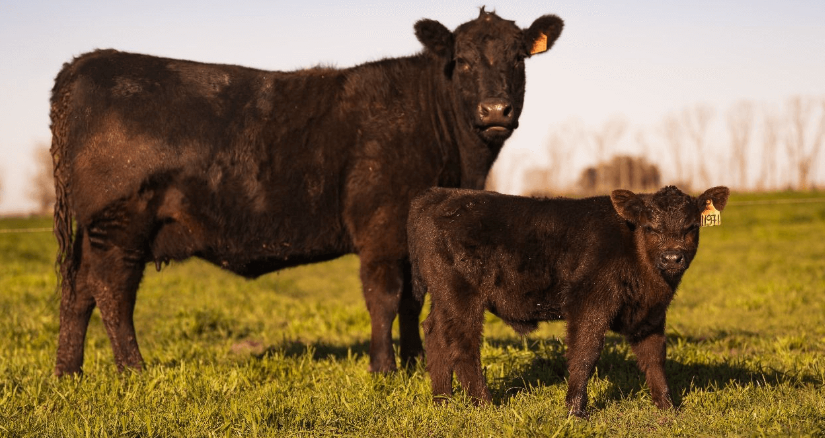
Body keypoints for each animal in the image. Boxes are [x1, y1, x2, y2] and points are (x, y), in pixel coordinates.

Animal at [48, 8, 564, 374]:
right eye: (464, 61)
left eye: (519, 58)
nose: (494, 109)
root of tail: (87, 62)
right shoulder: (380, 227)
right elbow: (384, 295)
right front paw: (384, 369)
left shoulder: (410, 236)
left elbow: (413, 299)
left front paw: (416, 363)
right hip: (120, 221)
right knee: (111, 290)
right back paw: (133, 369)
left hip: (97, 230)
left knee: (78, 290)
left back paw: (68, 373)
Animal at [408, 186, 728, 418]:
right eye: (650, 227)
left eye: (691, 226)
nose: (672, 257)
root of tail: (439, 194)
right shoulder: (590, 303)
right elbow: (585, 353)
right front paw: (575, 410)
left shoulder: (651, 314)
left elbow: (654, 357)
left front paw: (668, 407)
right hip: (461, 294)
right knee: (462, 343)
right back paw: (484, 404)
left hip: (443, 296)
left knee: (435, 332)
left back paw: (443, 401)